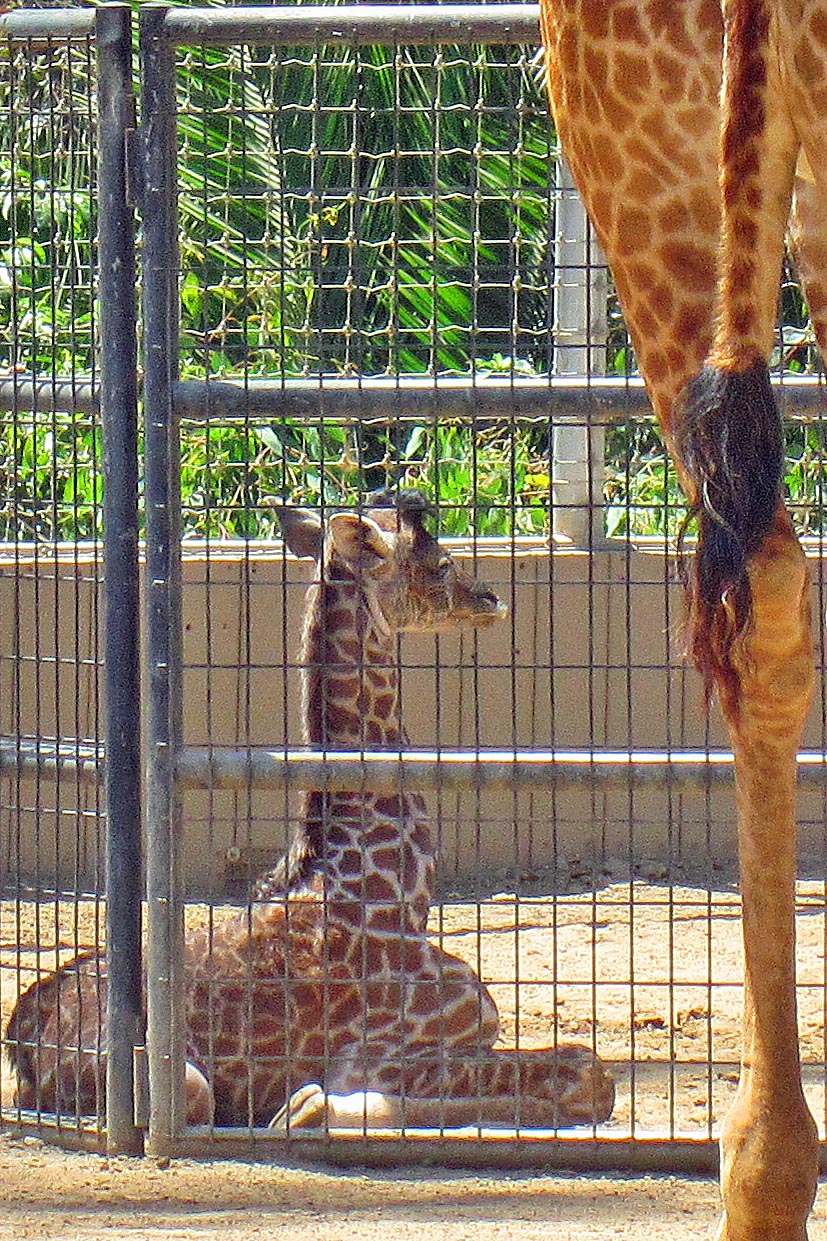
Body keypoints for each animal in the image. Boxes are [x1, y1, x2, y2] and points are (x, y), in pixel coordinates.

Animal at [6, 489, 614, 1131]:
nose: (491, 600)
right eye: (441, 563)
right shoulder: (391, 1053)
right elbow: (586, 1074)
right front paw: (309, 1109)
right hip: (178, 1080)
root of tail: (22, 1044)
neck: (393, 895)